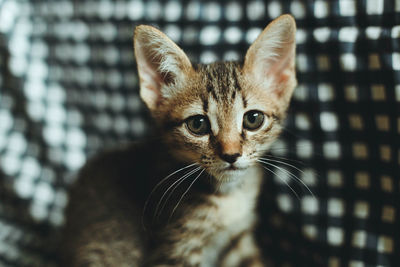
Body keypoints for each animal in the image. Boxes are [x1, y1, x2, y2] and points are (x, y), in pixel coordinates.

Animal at [60, 15, 296, 267]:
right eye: (198, 124)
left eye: (253, 119)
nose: (231, 155)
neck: (227, 195)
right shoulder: (175, 249)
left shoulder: (237, 239)